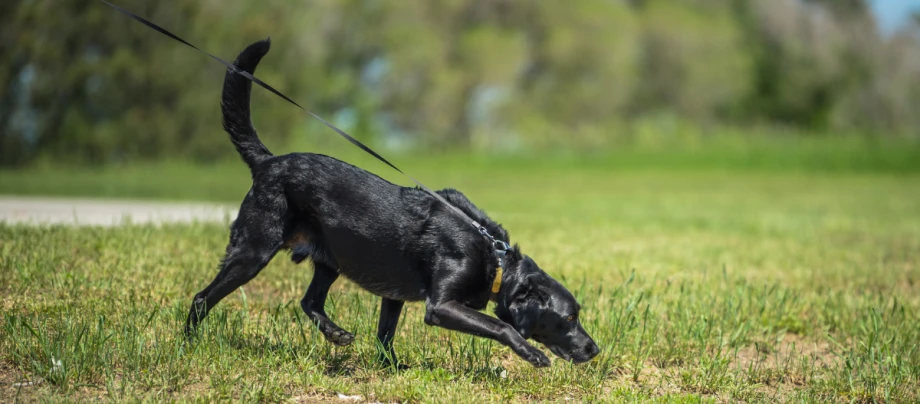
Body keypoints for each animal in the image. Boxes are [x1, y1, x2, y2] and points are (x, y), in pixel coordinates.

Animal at [185, 39, 604, 368]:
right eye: (569, 318)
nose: (595, 349)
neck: (494, 258)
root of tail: (268, 162)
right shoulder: (442, 306)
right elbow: (501, 325)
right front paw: (532, 354)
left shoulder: (393, 296)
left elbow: (385, 334)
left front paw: (392, 368)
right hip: (254, 250)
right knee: (202, 299)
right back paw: (188, 346)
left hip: (331, 257)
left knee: (309, 301)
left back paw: (336, 334)